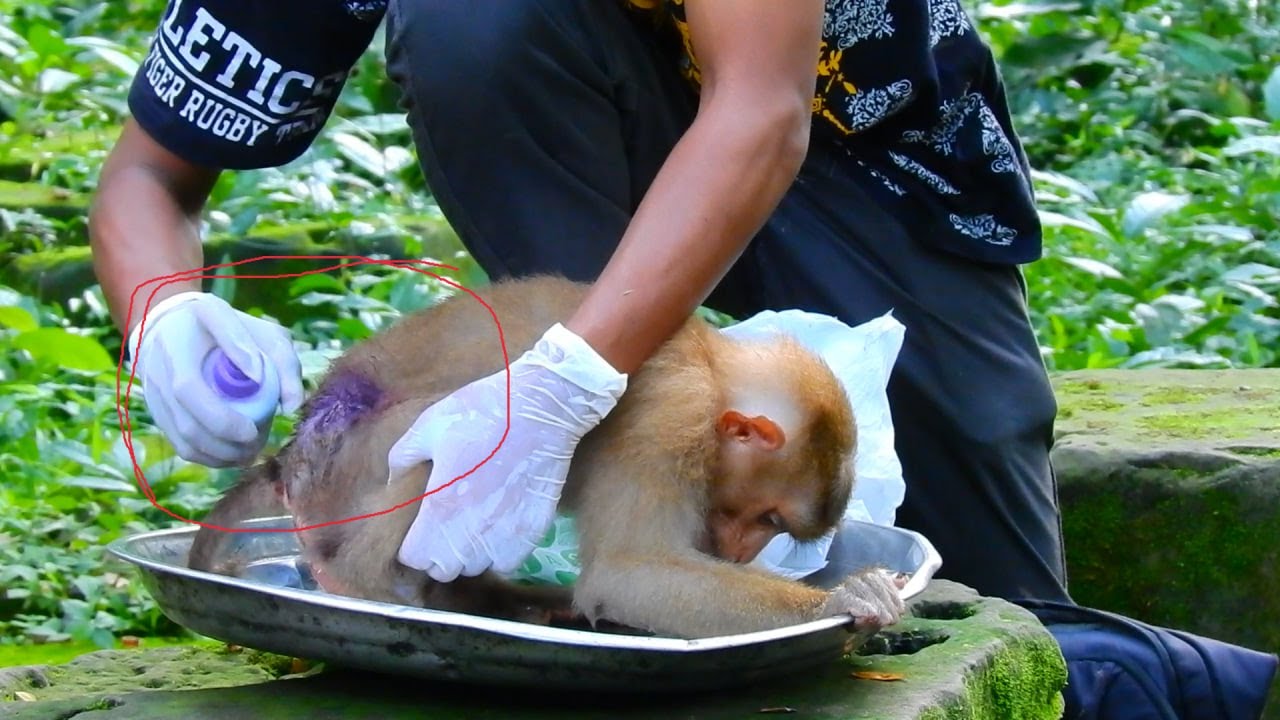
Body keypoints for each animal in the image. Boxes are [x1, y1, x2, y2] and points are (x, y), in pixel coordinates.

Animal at [188, 275, 905, 639]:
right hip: (353, 463)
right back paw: (384, 590)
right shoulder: (673, 417)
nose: (738, 550)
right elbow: (627, 572)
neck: (709, 360)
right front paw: (839, 598)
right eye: (769, 519)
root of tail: (293, 454)